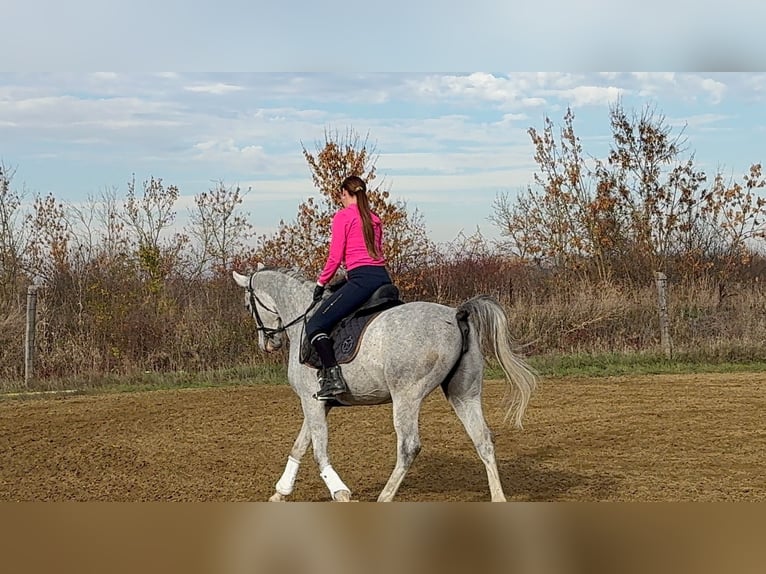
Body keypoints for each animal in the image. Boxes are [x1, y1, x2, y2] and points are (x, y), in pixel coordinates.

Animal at [232, 265, 537, 502]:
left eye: (248, 306)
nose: (267, 344)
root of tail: (456, 314)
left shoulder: (310, 400)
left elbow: (318, 450)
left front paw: (340, 492)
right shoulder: (319, 402)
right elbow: (300, 445)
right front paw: (280, 492)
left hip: (407, 396)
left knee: (408, 446)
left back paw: (384, 497)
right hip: (464, 393)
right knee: (483, 439)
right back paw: (498, 497)